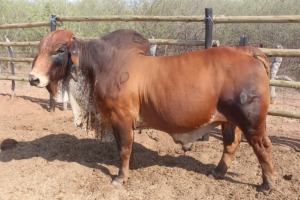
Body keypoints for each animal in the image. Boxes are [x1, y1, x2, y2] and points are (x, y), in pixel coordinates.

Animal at [28, 28, 274, 193]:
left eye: (60, 50)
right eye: (39, 49)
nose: (33, 78)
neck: (101, 66)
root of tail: (246, 51)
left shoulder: (121, 117)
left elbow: (124, 148)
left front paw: (120, 177)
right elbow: (126, 147)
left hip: (251, 121)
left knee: (262, 148)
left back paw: (266, 185)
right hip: (229, 120)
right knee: (231, 144)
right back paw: (218, 172)